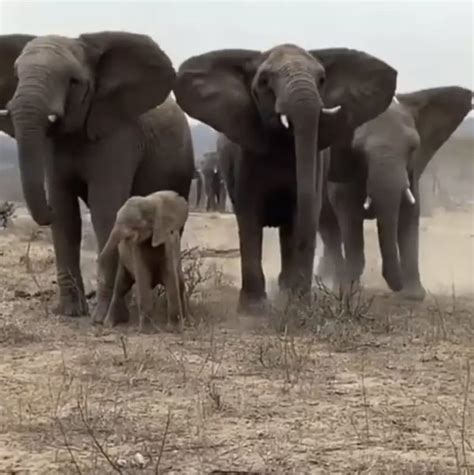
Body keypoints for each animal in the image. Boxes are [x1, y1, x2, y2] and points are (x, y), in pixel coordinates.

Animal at [97, 190, 189, 330]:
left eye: (136, 225)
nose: (99, 277)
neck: (149, 201)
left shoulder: (168, 241)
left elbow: (170, 276)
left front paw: (174, 330)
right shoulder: (136, 248)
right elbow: (143, 277)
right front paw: (147, 331)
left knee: (180, 283)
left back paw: (187, 320)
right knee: (121, 287)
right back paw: (109, 324)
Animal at [174, 44, 396, 312]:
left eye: (322, 80)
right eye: (264, 81)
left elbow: (302, 212)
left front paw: (297, 303)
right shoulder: (243, 155)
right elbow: (249, 215)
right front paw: (253, 309)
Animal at [316, 86, 472, 302]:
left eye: (413, 148)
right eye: (358, 150)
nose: (396, 287)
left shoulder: (411, 173)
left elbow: (409, 216)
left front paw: (414, 296)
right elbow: (350, 222)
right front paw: (350, 294)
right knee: (329, 229)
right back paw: (335, 287)